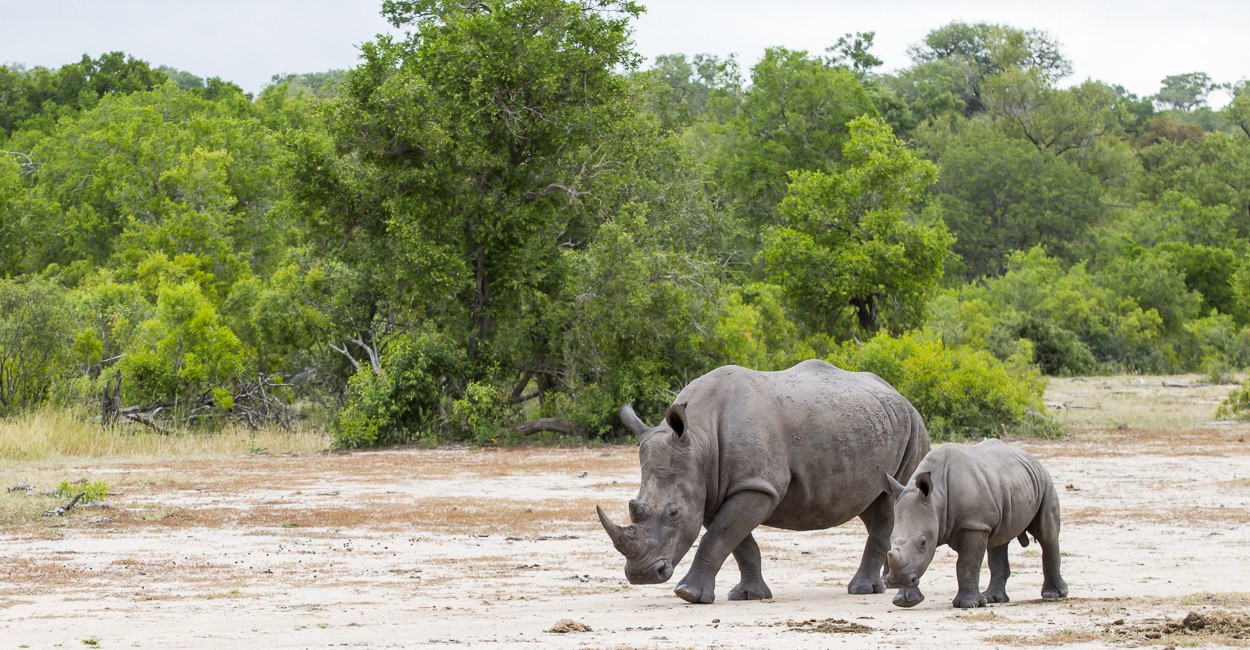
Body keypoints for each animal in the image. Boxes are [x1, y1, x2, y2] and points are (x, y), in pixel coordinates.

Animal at [595, 360, 930, 605]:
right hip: (876, 424)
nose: (643, 575)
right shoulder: (715, 491)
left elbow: (719, 537)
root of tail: (900, 395)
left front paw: (689, 594)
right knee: (871, 504)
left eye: (674, 513)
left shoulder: (756, 486)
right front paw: (748, 595)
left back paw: (865, 589)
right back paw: (888, 581)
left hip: (914, 426)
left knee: (889, 500)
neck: (700, 440)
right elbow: (738, 542)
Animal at [885, 440, 1070, 607]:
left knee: (1047, 535)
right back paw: (993, 599)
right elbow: (917, 561)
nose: (897, 581)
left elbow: (967, 563)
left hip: (1044, 481)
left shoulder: (974, 524)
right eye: (890, 541)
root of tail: (1031, 457)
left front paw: (968, 604)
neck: (937, 498)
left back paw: (1052, 595)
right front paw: (904, 601)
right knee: (999, 541)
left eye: (923, 542)